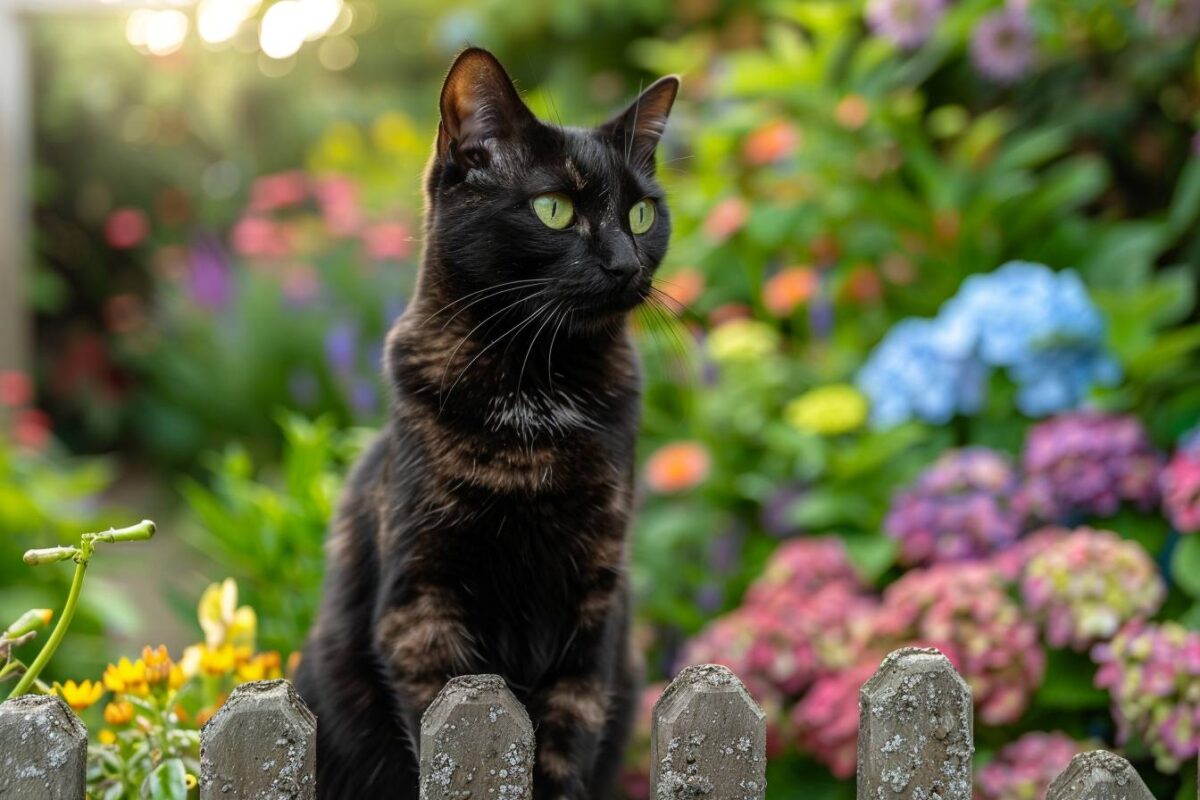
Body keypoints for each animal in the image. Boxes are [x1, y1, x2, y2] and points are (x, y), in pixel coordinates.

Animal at [295, 50, 681, 800]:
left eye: (642, 211)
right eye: (554, 209)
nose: (625, 263)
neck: (537, 391)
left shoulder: (594, 604)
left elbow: (564, 739)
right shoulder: (422, 607)